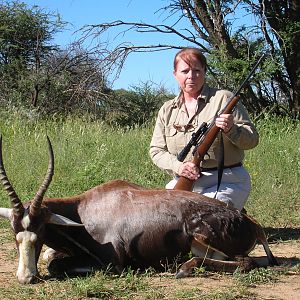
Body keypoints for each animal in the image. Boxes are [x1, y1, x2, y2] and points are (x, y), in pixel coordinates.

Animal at [0, 136, 278, 284]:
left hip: (203, 236)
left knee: (246, 262)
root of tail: (250, 222)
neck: (84, 210)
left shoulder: (113, 262)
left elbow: (55, 265)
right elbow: (50, 257)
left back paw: (183, 269)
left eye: (40, 231)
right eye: (15, 233)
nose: (25, 278)